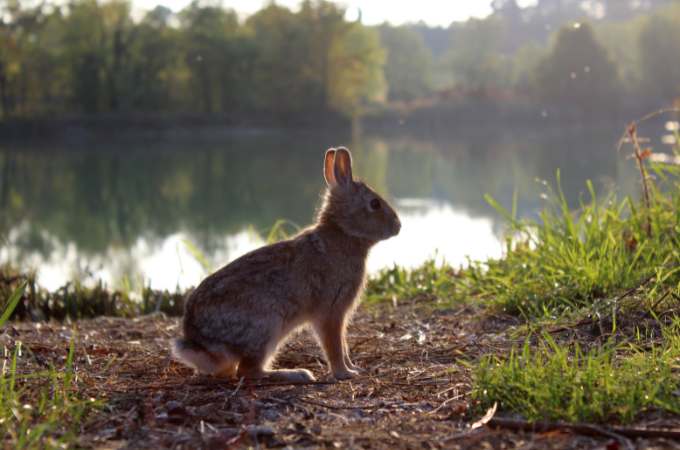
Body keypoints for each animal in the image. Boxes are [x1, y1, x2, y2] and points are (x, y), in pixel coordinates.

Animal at [173, 149, 402, 384]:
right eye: (374, 204)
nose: (398, 226)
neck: (342, 232)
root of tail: (198, 340)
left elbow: (344, 345)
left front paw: (354, 368)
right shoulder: (331, 311)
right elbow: (335, 345)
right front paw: (345, 373)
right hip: (267, 326)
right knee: (248, 371)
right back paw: (298, 374)